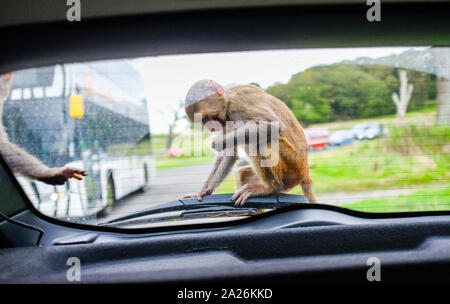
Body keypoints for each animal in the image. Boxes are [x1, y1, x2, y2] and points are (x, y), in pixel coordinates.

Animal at [183, 79, 316, 205]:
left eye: (205, 118)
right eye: (202, 121)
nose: (209, 127)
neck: (228, 100)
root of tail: (305, 172)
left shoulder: (239, 104)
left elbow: (272, 125)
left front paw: (219, 142)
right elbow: (229, 153)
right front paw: (204, 190)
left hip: (292, 168)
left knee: (258, 142)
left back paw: (270, 188)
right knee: (242, 173)